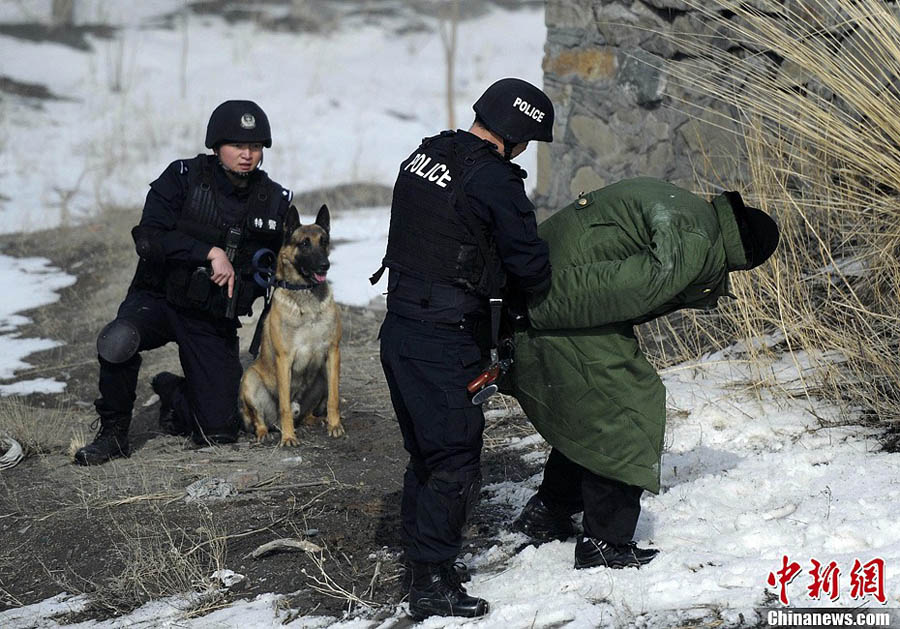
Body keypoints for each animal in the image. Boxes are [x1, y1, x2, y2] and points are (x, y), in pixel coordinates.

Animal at [241, 204, 342, 444]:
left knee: (306, 414)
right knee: (261, 418)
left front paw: (335, 425)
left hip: (322, 377)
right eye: (304, 243)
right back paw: (265, 433)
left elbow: (334, 398)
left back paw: (317, 420)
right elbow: (285, 405)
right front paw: (288, 437)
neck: (305, 293)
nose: (325, 265)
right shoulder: (284, 359)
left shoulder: (332, 353)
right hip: (250, 380)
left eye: (324, 241)